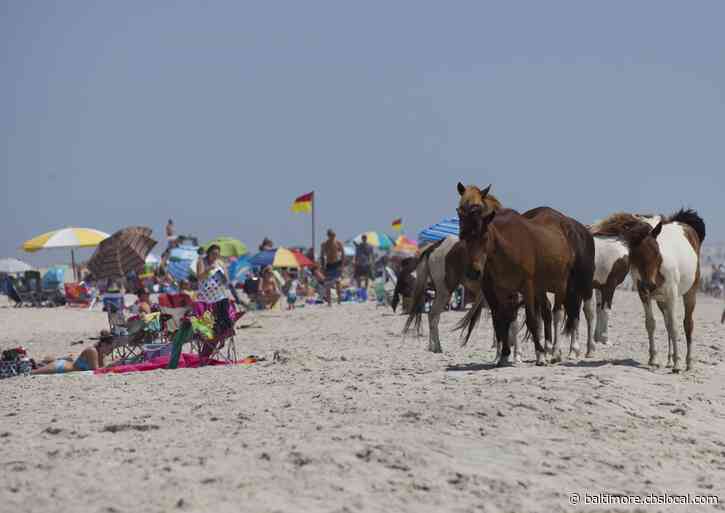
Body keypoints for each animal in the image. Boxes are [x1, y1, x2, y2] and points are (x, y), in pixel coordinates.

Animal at [457, 197, 595, 366]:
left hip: (572, 283)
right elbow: (504, 318)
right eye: (463, 236)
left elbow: (531, 319)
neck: (509, 246)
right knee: (553, 312)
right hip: (547, 288)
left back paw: (572, 351)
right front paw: (504, 355)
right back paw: (557, 349)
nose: (473, 271)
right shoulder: (502, 291)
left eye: (484, 237)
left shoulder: (527, 287)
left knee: (573, 312)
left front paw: (540, 355)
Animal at [595, 209, 705, 372]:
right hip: (661, 301)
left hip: (690, 293)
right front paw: (654, 359)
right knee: (667, 325)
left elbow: (675, 326)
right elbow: (651, 324)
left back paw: (688, 362)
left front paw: (677, 364)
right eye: (634, 256)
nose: (650, 284)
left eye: (656, 252)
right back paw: (669, 360)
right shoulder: (644, 295)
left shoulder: (672, 295)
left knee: (687, 324)